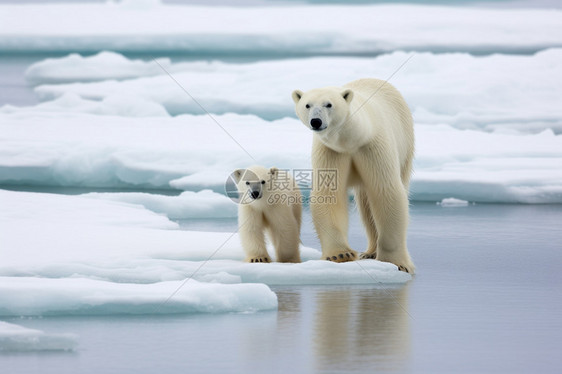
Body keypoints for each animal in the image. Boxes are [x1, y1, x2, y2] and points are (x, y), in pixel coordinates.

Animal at [290, 78, 414, 272]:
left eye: (328, 104)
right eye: (307, 105)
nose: (316, 121)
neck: (351, 141)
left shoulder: (372, 147)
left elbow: (386, 191)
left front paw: (397, 263)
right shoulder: (331, 152)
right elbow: (329, 194)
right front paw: (340, 254)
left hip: (406, 143)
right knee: (365, 205)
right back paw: (369, 252)